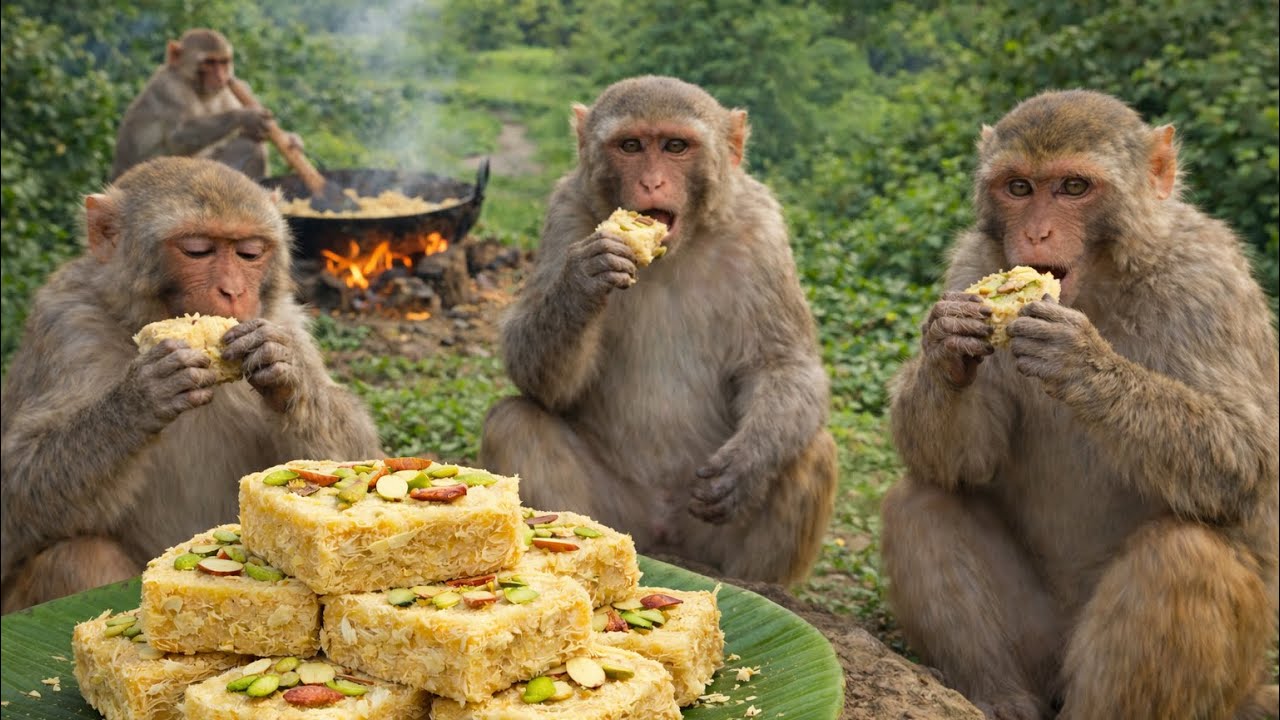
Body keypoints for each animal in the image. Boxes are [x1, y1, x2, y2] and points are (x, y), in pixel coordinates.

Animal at [0, 157, 382, 613]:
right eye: (197, 250)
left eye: (250, 252)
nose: (233, 291)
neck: (133, 318)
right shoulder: (66, 325)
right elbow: (15, 490)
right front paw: (139, 399)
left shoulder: (287, 320)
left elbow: (353, 459)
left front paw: (287, 373)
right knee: (80, 555)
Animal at [110, 28, 286, 181]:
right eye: (209, 62)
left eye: (222, 62)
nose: (221, 77)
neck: (197, 88)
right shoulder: (172, 89)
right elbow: (177, 137)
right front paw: (247, 117)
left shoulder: (225, 91)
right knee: (249, 146)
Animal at [480, 76, 837, 585]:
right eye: (630, 146)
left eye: (675, 146)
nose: (651, 182)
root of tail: (663, 534)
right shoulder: (566, 214)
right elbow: (541, 380)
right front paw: (583, 280)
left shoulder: (762, 229)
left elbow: (784, 364)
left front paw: (748, 463)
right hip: (621, 517)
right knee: (515, 422)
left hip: (703, 537)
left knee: (812, 448)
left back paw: (757, 583)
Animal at [880, 89, 1279, 720]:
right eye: (1019, 188)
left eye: (1073, 187)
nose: (1038, 235)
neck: (1102, 282)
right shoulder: (971, 262)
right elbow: (964, 462)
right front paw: (947, 343)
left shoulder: (1209, 280)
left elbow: (1248, 458)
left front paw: (1083, 361)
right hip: (1040, 642)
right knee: (921, 499)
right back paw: (1002, 697)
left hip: (1233, 674)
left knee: (1185, 555)